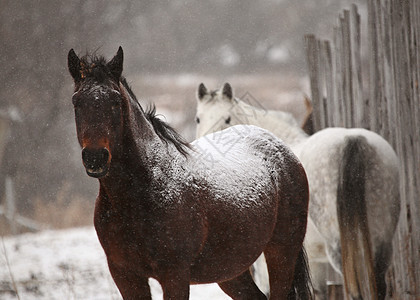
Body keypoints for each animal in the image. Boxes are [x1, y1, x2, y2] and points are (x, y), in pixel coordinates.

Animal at [67, 48, 314, 298]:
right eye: (76, 101)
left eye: (116, 101)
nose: (95, 157)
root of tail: (280, 147)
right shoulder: (126, 276)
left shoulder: (175, 276)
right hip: (230, 271)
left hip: (281, 252)